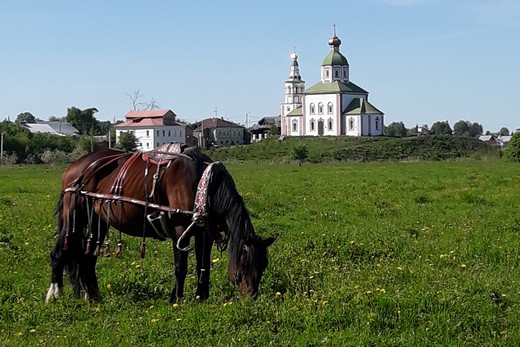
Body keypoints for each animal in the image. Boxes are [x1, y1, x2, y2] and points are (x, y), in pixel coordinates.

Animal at [44, 145, 278, 306]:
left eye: (264, 264)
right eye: (244, 262)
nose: (252, 296)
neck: (202, 184)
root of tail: (74, 168)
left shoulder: (203, 232)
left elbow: (203, 266)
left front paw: (201, 296)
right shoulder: (180, 231)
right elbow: (180, 267)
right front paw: (176, 298)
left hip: (98, 221)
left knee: (87, 258)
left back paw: (94, 296)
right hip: (74, 216)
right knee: (59, 253)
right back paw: (54, 294)